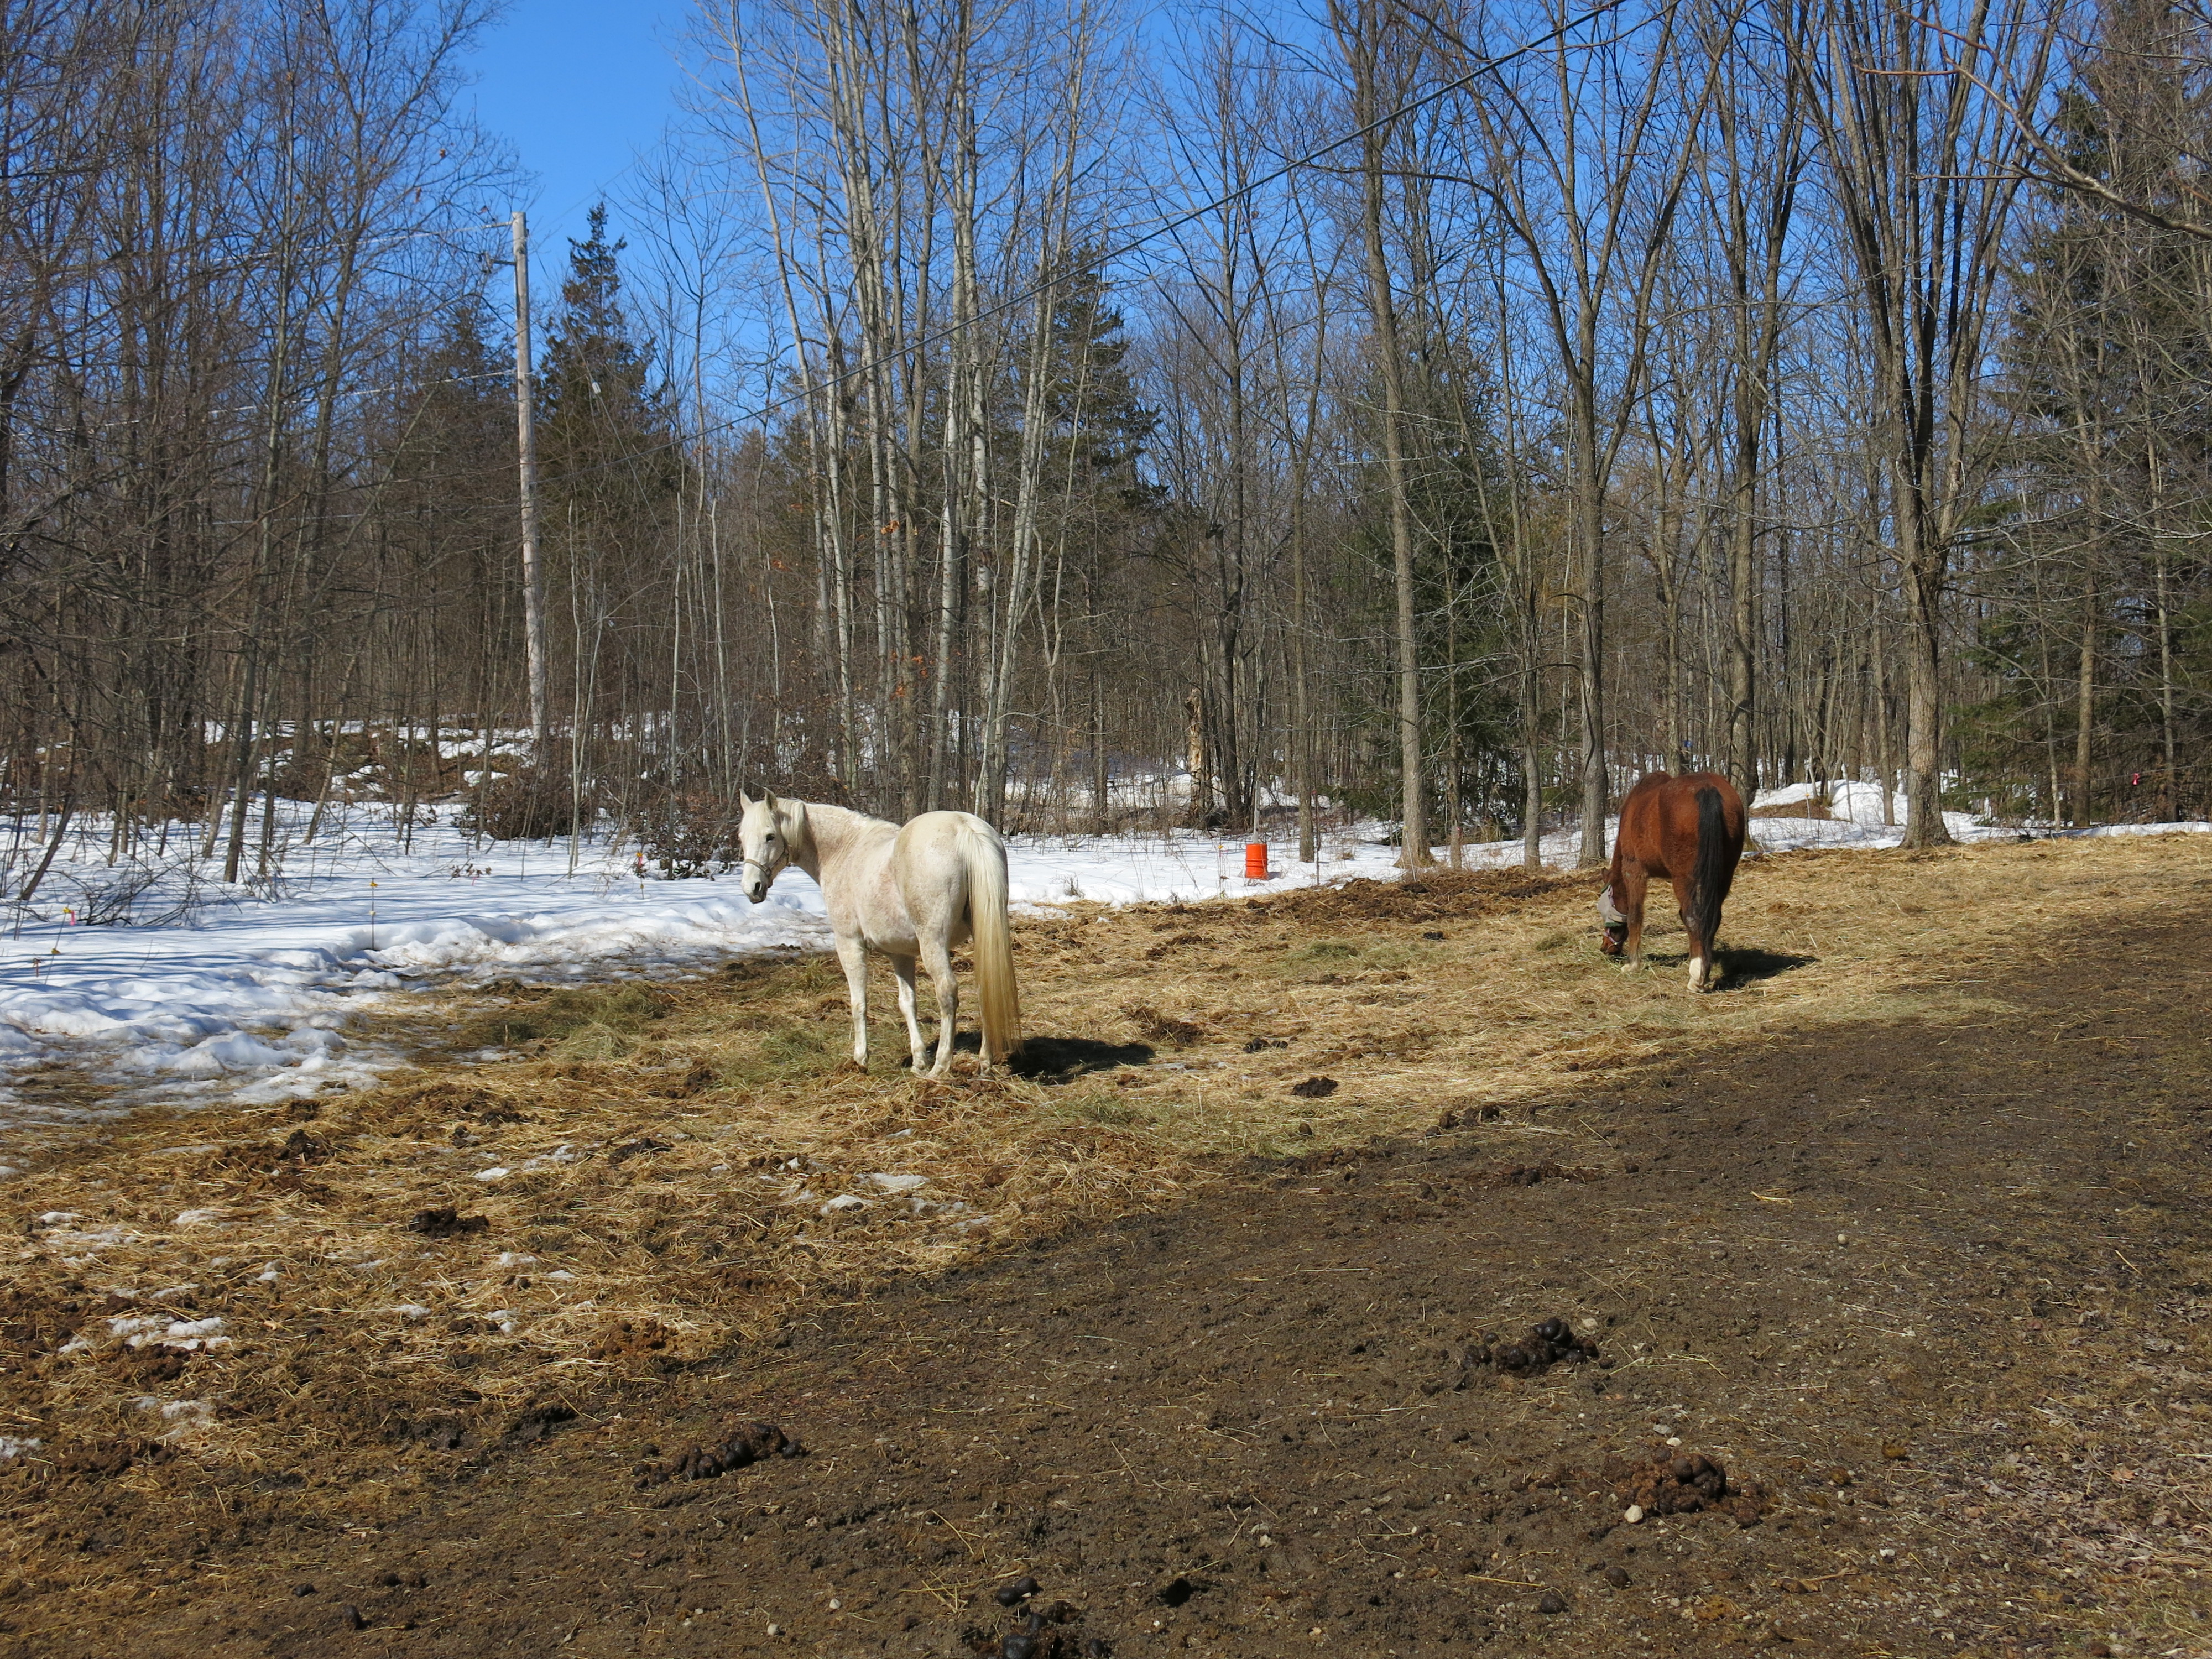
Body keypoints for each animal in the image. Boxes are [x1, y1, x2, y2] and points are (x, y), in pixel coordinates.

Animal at [735, 792, 1022, 1076]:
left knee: (947, 992)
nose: (752, 888)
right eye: (742, 837)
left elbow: (858, 1002)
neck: (844, 851)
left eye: (770, 836)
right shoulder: (900, 953)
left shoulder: (849, 944)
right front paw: (918, 1060)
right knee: (985, 989)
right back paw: (983, 1062)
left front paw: (861, 1059)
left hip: (933, 942)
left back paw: (940, 1067)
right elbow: (907, 1003)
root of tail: (964, 827)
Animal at [1596, 771, 1747, 993]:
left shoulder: (1634, 871)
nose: (1605, 948)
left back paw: (1696, 977)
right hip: (1724, 875)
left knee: (1693, 918)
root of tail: (1706, 788)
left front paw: (1633, 964)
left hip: (1683, 879)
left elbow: (1635, 916)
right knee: (1713, 918)